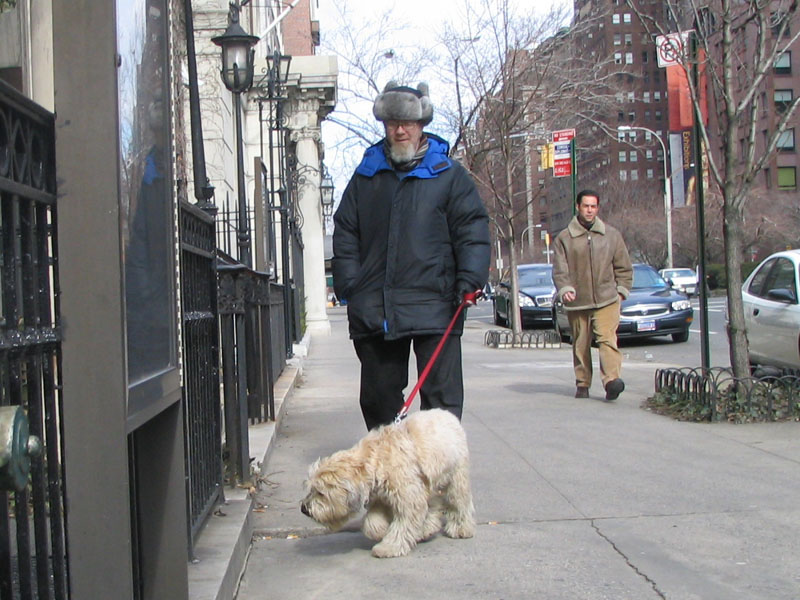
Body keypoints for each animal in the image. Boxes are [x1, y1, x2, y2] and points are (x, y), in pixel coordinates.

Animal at [300, 408, 476, 556]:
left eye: (321, 493)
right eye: (311, 489)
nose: (304, 509)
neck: (375, 459)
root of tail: (448, 414)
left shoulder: (408, 498)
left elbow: (402, 525)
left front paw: (389, 547)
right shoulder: (381, 496)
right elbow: (372, 521)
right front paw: (379, 531)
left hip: (456, 478)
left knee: (459, 503)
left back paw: (461, 528)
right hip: (429, 483)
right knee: (433, 504)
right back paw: (427, 528)